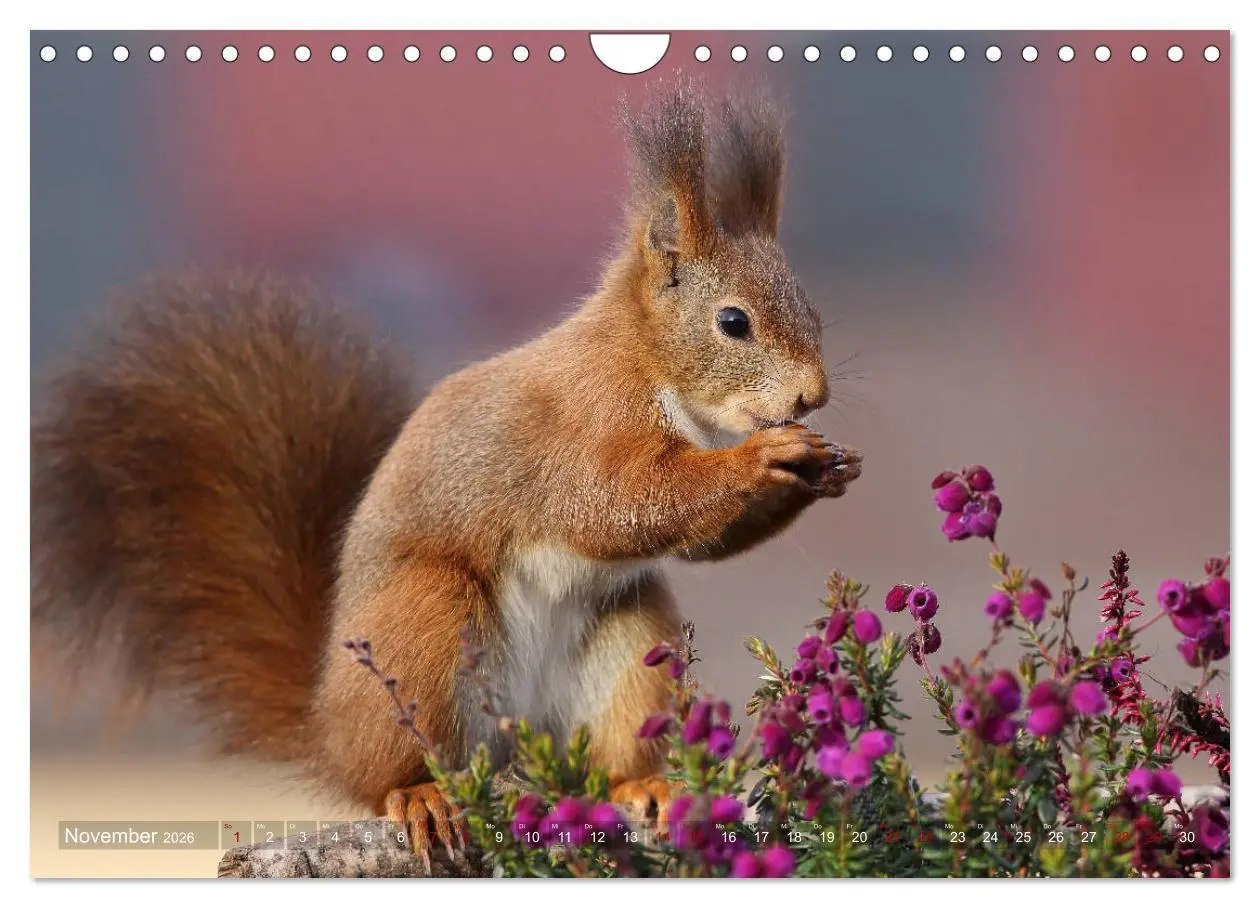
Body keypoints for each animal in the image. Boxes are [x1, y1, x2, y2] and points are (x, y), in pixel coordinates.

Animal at [31, 80, 862, 870]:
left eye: (813, 312)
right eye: (733, 322)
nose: (812, 396)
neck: (649, 364)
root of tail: (327, 727)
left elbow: (696, 539)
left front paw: (828, 466)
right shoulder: (584, 425)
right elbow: (620, 504)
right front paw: (764, 459)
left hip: (630, 639)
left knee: (614, 737)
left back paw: (642, 785)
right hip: (426, 623)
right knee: (389, 771)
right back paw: (421, 796)